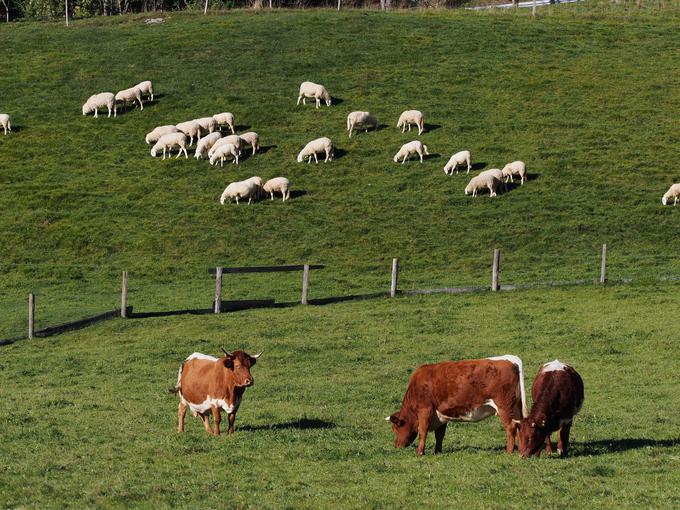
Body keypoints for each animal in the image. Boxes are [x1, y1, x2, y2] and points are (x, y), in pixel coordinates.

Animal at [386, 354, 528, 458]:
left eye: (395, 428)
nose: (396, 445)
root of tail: (511, 359)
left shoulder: (424, 410)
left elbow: (423, 431)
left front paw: (420, 453)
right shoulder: (440, 415)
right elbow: (440, 434)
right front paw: (437, 452)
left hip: (504, 407)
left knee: (510, 427)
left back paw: (508, 452)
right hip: (515, 408)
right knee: (520, 426)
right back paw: (522, 450)